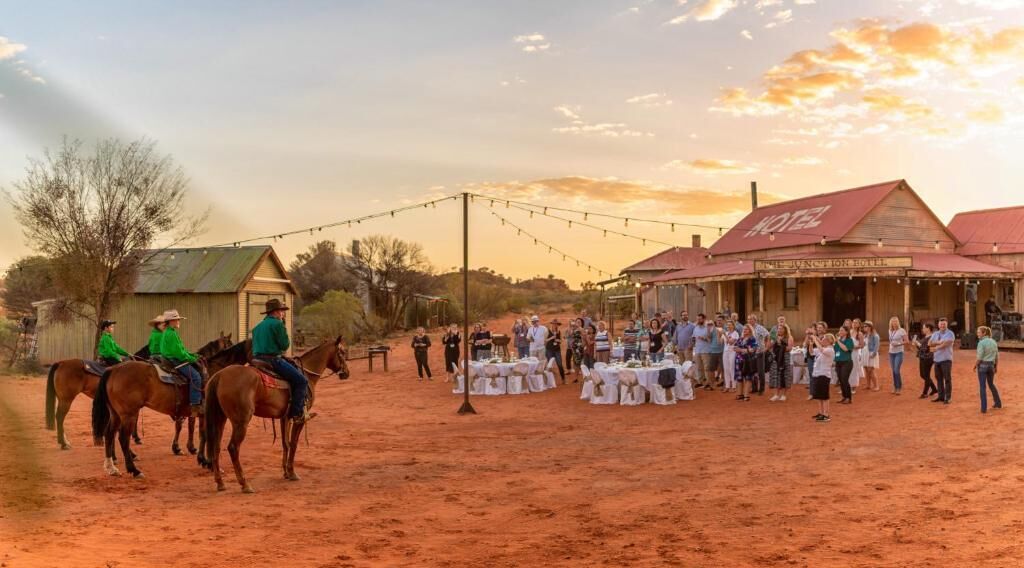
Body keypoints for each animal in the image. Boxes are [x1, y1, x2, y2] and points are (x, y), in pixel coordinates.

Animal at [91, 339, 251, 476]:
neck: (214, 371)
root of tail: (113, 370)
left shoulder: (199, 413)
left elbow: (200, 433)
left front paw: (201, 459)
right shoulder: (205, 412)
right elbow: (204, 434)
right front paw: (208, 463)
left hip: (116, 414)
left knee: (109, 434)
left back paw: (111, 467)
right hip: (128, 414)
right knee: (123, 438)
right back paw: (133, 469)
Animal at [205, 337, 350, 493]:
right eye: (342, 352)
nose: (346, 372)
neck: (307, 374)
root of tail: (219, 376)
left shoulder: (284, 418)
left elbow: (285, 443)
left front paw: (285, 472)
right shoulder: (299, 419)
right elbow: (294, 444)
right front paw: (292, 472)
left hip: (220, 418)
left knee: (216, 446)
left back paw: (220, 482)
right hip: (241, 422)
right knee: (233, 447)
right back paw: (244, 484)